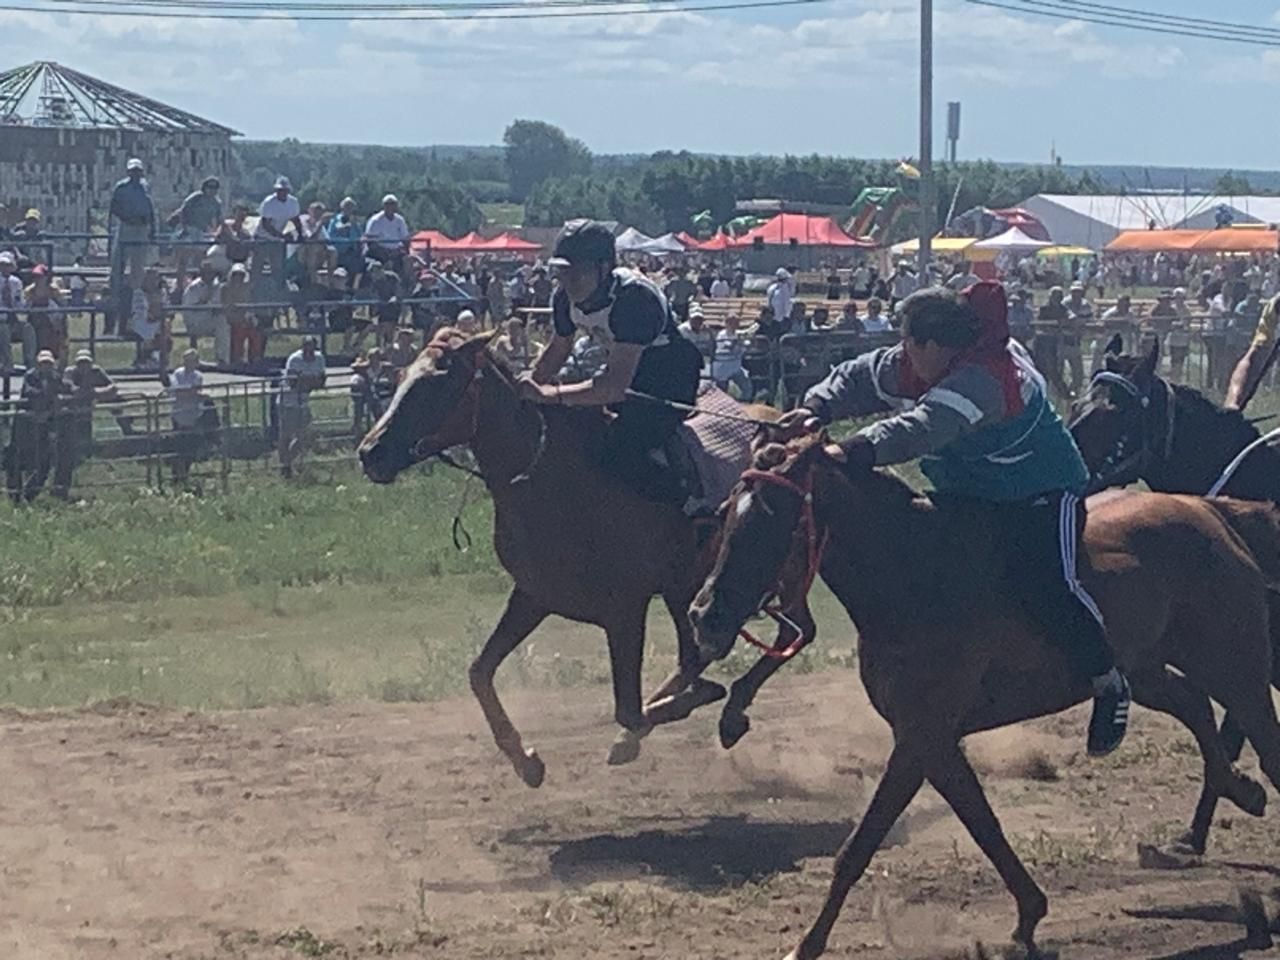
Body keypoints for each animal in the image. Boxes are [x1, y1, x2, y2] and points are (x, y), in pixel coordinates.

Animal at [358, 330, 768, 788]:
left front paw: (686, 706)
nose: (370, 452)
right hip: (685, 590)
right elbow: (479, 672)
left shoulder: (625, 611)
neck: (556, 481)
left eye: (436, 383)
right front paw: (525, 759)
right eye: (399, 378)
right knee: (692, 654)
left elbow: (631, 708)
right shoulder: (533, 596)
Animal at [696, 437, 1280, 960]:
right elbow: (982, 823)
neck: (913, 575)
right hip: (1148, 667)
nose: (706, 615)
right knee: (1194, 705)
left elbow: (859, 847)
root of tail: (1211, 511)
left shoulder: (919, 739)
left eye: (773, 518)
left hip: (1236, 666)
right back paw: (1234, 792)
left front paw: (807, 944)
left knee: (1258, 738)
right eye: (727, 514)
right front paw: (1028, 917)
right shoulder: (933, 743)